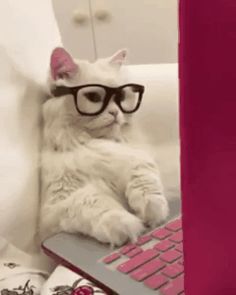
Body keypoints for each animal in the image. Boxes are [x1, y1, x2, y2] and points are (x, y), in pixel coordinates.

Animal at [40, 48, 170, 247]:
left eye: (121, 97)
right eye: (94, 97)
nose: (115, 113)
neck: (95, 143)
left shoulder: (137, 157)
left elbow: (146, 182)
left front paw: (152, 212)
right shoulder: (60, 200)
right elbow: (95, 203)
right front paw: (126, 227)